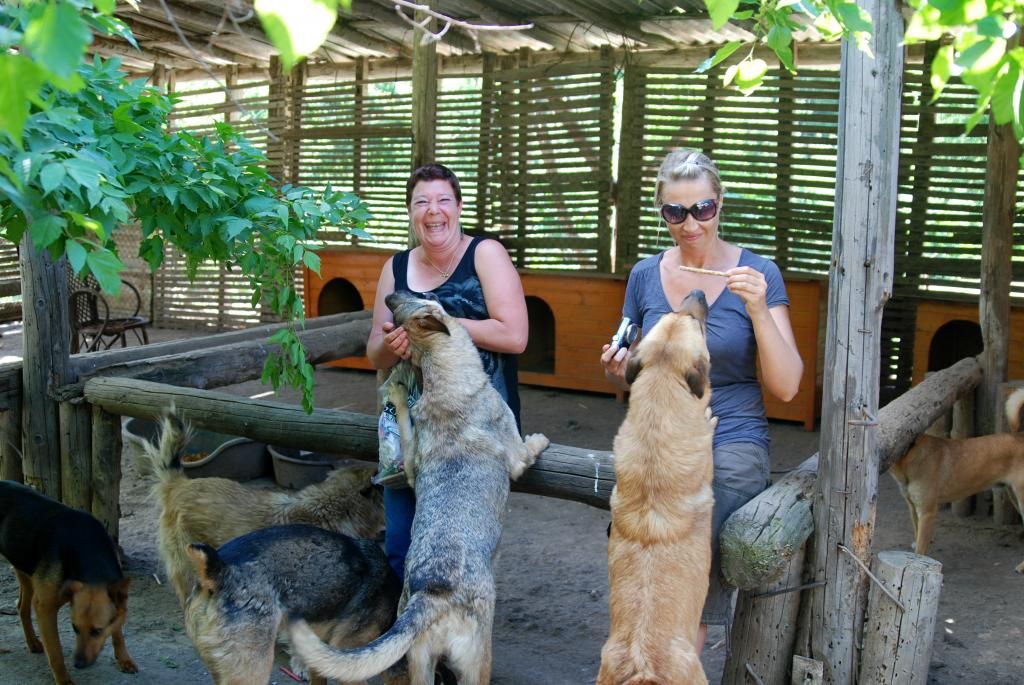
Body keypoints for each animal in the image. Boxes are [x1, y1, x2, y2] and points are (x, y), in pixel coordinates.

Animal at [0, 481, 136, 683]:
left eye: (97, 631)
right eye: (74, 628)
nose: (78, 665)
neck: (90, 554)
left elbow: (118, 632)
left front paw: (124, 659)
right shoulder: (45, 608)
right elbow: (55, 652)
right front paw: (64, 680)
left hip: (25, 570)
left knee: (21, 607)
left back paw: (32, 642)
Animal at [288, 290, 552, 683]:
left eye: (402, 304)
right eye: (426, 297)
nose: (388, 294)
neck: (445, 381)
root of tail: (431, 595)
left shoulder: (412, 463)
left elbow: (405, 426)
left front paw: (397, 394)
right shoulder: (517, 455)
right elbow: (528, 448)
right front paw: (540, 439)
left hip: (419, 663)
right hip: (477, 663)